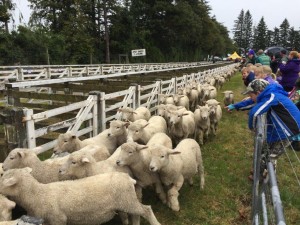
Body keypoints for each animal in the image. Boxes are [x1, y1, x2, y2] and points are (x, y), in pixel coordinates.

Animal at [0, 168, 162, 225]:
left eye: (3, 178)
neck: (37, 195)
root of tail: (128, 178)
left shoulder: (58, 219)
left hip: (127, 200)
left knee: (146, 210)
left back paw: (156, 223)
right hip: (126, 201)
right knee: (135, 214)